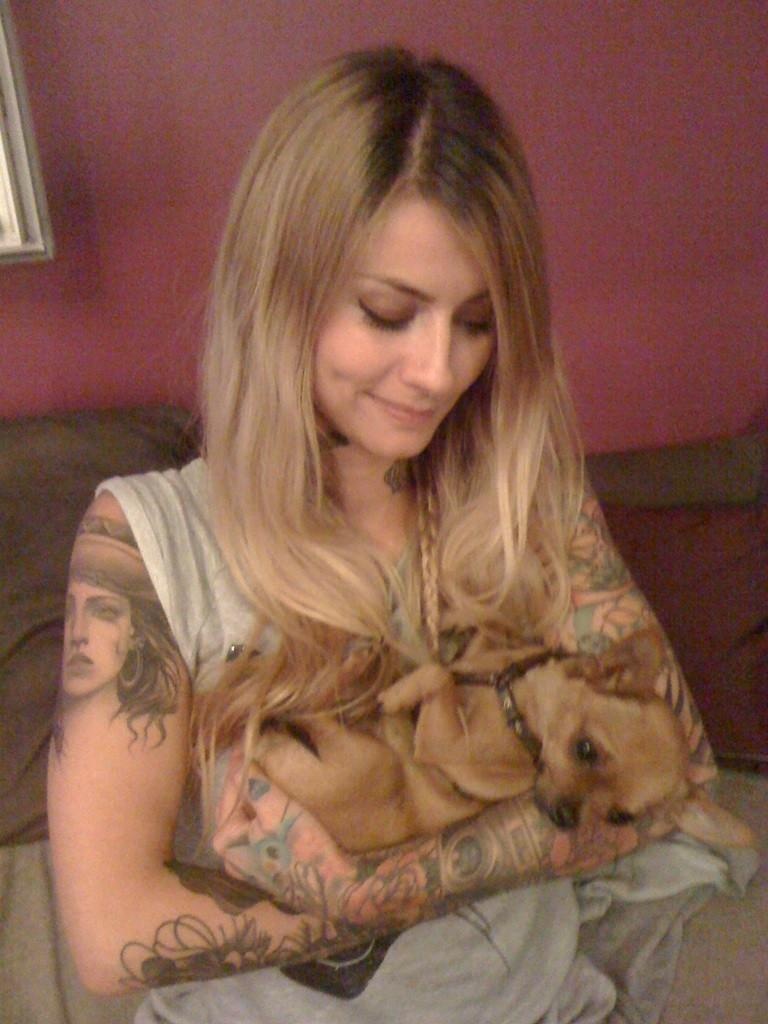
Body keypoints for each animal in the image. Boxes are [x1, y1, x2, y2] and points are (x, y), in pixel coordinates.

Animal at [254, 629, 754, 853]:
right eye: (586, 749)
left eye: (619, 817)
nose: (564, 819)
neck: (513, 706)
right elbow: (462, 652)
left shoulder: (443, 745)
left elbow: (436, 676)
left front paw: (398, 695)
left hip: (370, 760)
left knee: (302, 722)